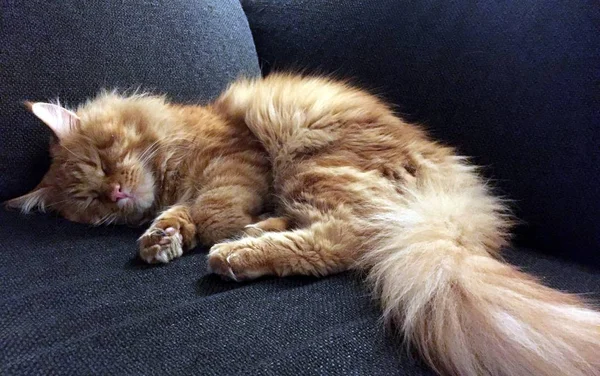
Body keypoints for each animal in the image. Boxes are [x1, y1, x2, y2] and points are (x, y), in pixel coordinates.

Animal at [5, 73, 600, 376]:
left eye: (104, 161)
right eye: (90, 199)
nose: (116, 193)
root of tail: (457, 199)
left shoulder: (234, 160)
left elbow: (214, 209)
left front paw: (210, 229)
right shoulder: (194, 189)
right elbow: (178, 217)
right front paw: (161, 239)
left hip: (312, 164)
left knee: (345, 240)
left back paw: (237, 251)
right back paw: (253, 236)